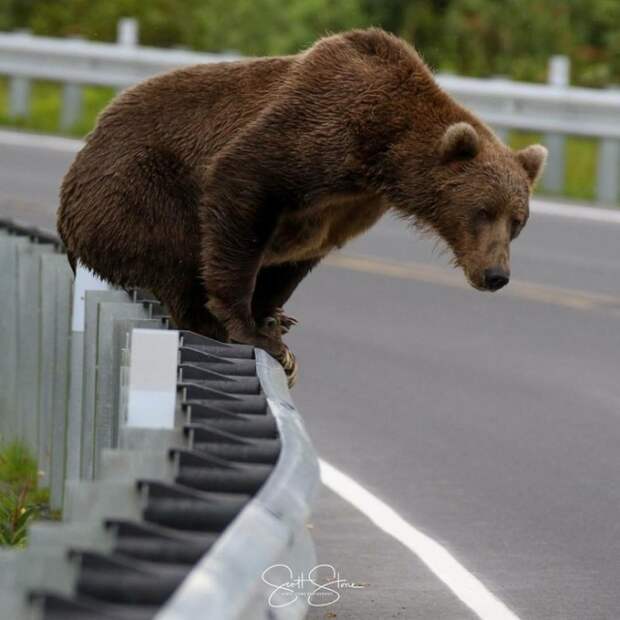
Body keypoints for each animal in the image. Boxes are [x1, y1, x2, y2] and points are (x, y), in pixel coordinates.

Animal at [55, 31, 544, 386]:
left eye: (517, 222)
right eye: (482, 211)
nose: (496, 274)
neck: (382, 154)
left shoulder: (347, 206)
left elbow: (299, 255)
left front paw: (273, 317)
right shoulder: (315, 131)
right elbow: (241, 184)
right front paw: (253, 331)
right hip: (132, 187)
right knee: (169, 250)